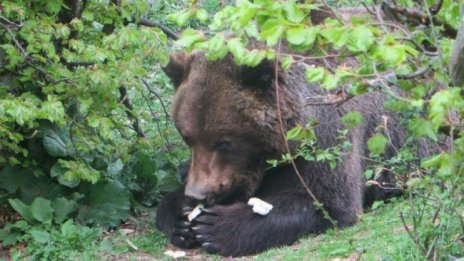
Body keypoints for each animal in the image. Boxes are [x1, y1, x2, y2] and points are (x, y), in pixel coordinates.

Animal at [155, 51, 402, 255]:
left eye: (223, 143)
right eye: (188, 137)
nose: (197, 193)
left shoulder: (330, 136)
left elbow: (329, 201)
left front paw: (215, 226)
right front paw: (181, 217)